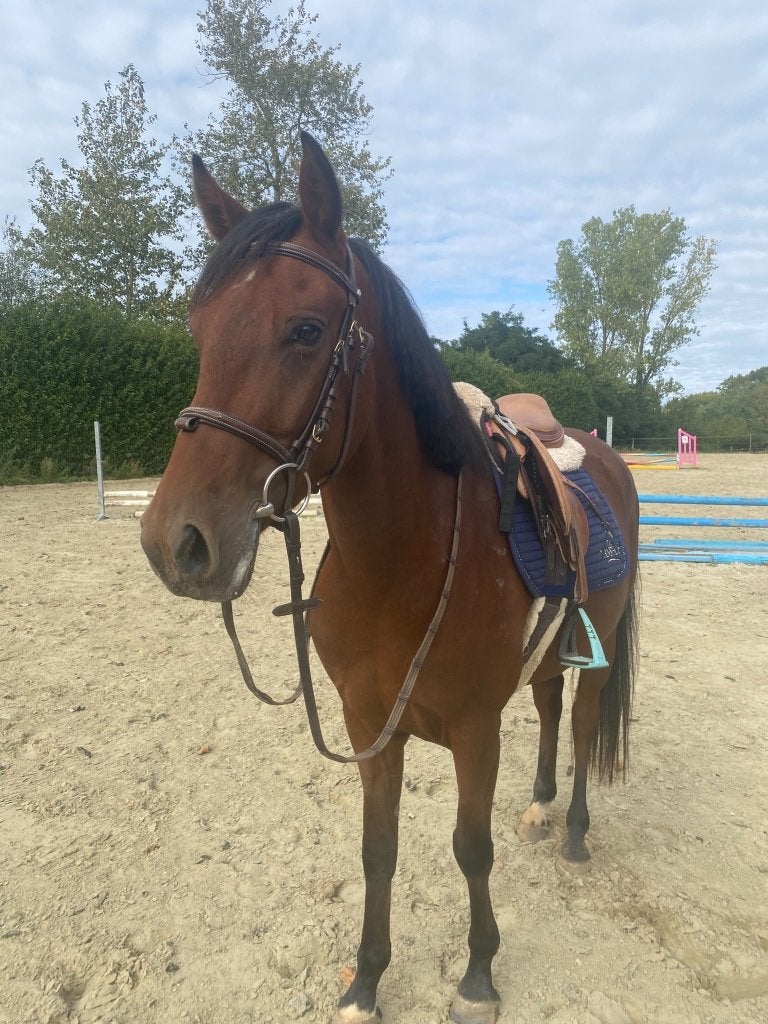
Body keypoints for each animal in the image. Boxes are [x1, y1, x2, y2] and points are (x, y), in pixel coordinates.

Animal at [141, 132, 639, 1024]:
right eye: (199, 329)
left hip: (601, 642)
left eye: (306, 330)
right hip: (551, 652)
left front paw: (478, 975)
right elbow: (379, 849)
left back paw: (576, 826)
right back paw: (541, 803)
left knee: (583, 725)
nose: (177, 543)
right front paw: (367, 979)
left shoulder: (475, 730)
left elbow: (469, 848)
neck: (400, 565)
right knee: (550, 708)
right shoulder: (369, 724)